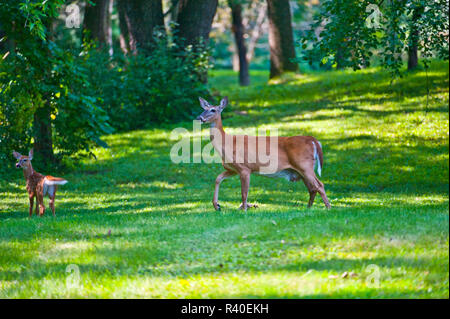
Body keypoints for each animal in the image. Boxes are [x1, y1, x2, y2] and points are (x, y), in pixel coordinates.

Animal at [196, 97, 330, 212]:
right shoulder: (233, 169)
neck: (227, 143)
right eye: (204, 108)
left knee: (319, 185)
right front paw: (217, 205)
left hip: (304, 165)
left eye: (213, 110)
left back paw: (328, 208)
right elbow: (218, 178)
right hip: (300, 171)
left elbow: (244, 192)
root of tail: (313, 140)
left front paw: (244, 210)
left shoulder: (245, 168)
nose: (199, 117)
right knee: (312, 188)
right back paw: (308, 208)